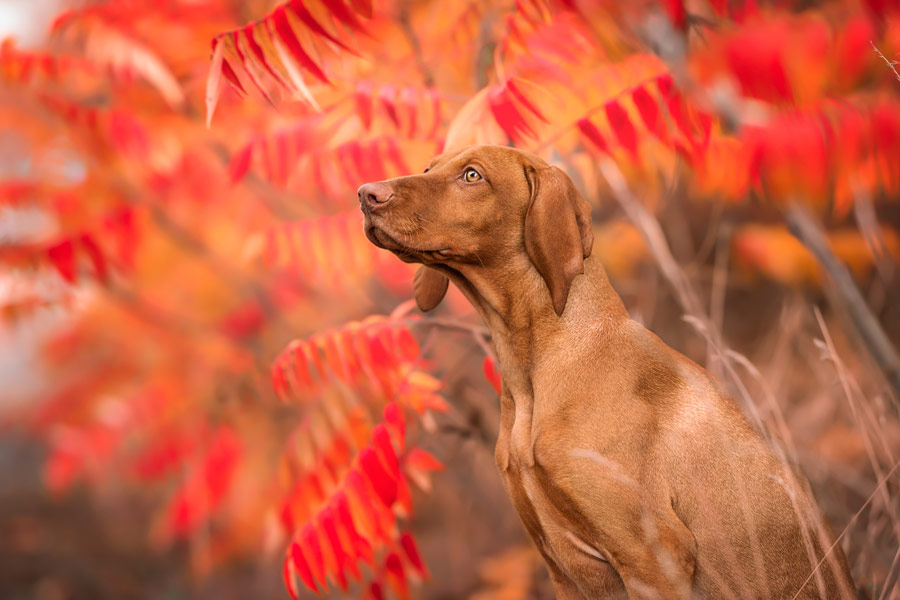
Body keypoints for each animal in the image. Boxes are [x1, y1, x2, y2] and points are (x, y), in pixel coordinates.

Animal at [356, 145, 852, 600]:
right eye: (428, 168)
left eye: (472, 175)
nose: (365, 194)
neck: (536, 366)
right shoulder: (565, 570)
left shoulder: (654, 557)